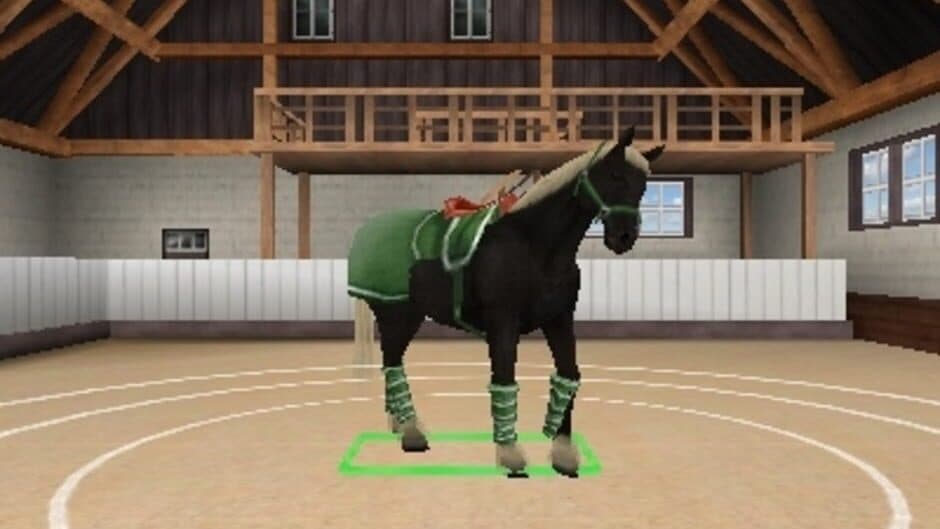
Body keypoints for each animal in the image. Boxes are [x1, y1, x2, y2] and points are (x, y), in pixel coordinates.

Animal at [348, 126, 663, 477]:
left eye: (644, 184)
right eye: (616, 175)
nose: (623, 238)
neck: (535, 246)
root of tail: (368, 230)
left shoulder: (560, 318)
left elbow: (568, 375)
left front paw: (563, 454)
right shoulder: (503, 322)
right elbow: (504, 379)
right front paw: (510, 453)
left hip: (409, 315)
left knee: (392, 363)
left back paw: (401, 425)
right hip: (396, 314)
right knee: (392, 364)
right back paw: (411, 433)